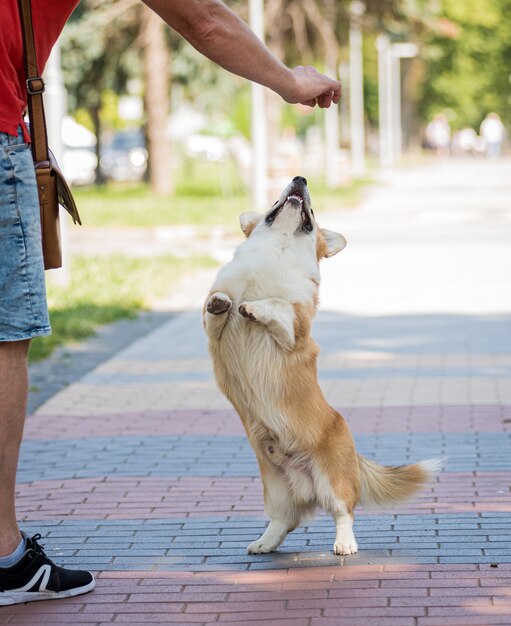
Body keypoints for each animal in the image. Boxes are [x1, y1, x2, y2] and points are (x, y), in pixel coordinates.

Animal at [203, 177, 440, 556]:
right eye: (275, 202)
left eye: (312, 213)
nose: (300, 179)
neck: (278, 252)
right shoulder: (214, 332)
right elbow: (216, 310)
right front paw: (221, 302)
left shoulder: (294, 330)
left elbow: (276, 305)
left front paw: (254, 307)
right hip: (275, 488)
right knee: (284, 520)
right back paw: (264, 542)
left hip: (332, 479)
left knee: (344, 512)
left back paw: (345, 544)